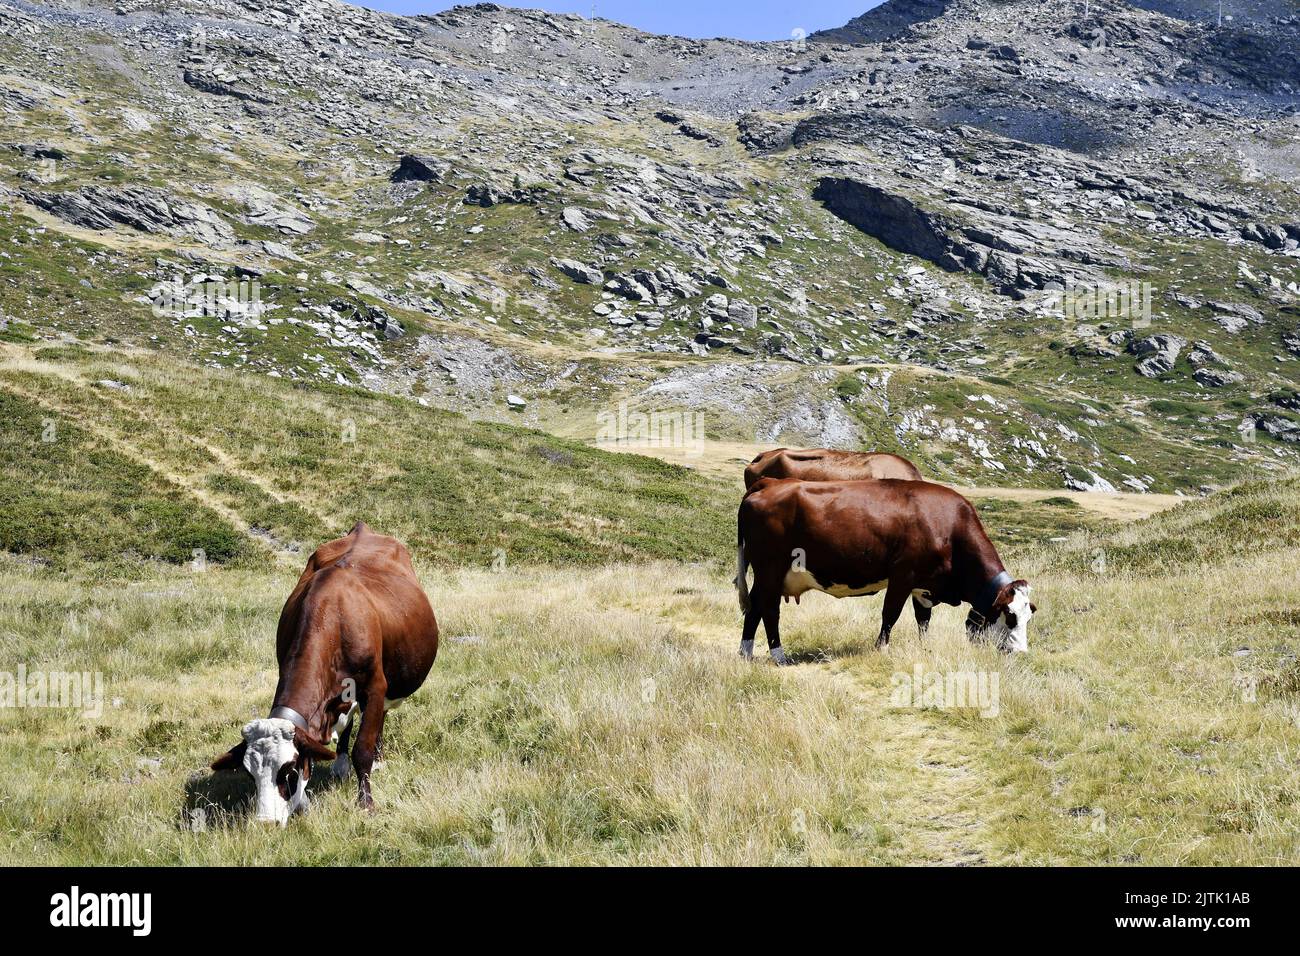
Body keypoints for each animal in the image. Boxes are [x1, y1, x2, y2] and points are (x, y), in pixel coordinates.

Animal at [210, 522, 439, 822]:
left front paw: (366, 803)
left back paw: (377, 759)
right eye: (250, 775)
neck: (334, 619)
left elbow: (362, 748)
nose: (266, 822)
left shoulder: (375, 687)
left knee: (380, 719)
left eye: (289, 771)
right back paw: (340, 764)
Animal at [743, 478, 1034, 665]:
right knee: (768, 609)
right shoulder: (902, 577)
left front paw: (924, 647)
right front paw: (881, 648)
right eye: (1010, 617)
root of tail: (769, 483)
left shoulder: (923, 586)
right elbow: (890, 614)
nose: (1021, 652)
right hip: (770, 570)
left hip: (765, 575)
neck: (950, 527)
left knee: (754, 607)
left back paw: (745, 653)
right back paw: (779, 655)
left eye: (1029, 617)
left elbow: (923, 620)